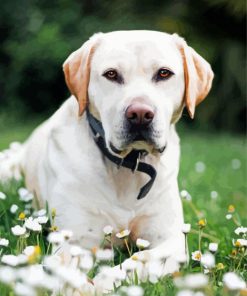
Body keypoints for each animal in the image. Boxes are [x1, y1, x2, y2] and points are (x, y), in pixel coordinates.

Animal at [0, 30, 213, 292]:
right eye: (111, 74)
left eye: (164, 73)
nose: (140, 114)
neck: (128, 166)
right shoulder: (74, 240)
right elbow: (69, 272)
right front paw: (79, 288)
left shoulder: (171, 241)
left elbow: (139, 259)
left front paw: (104, 281)